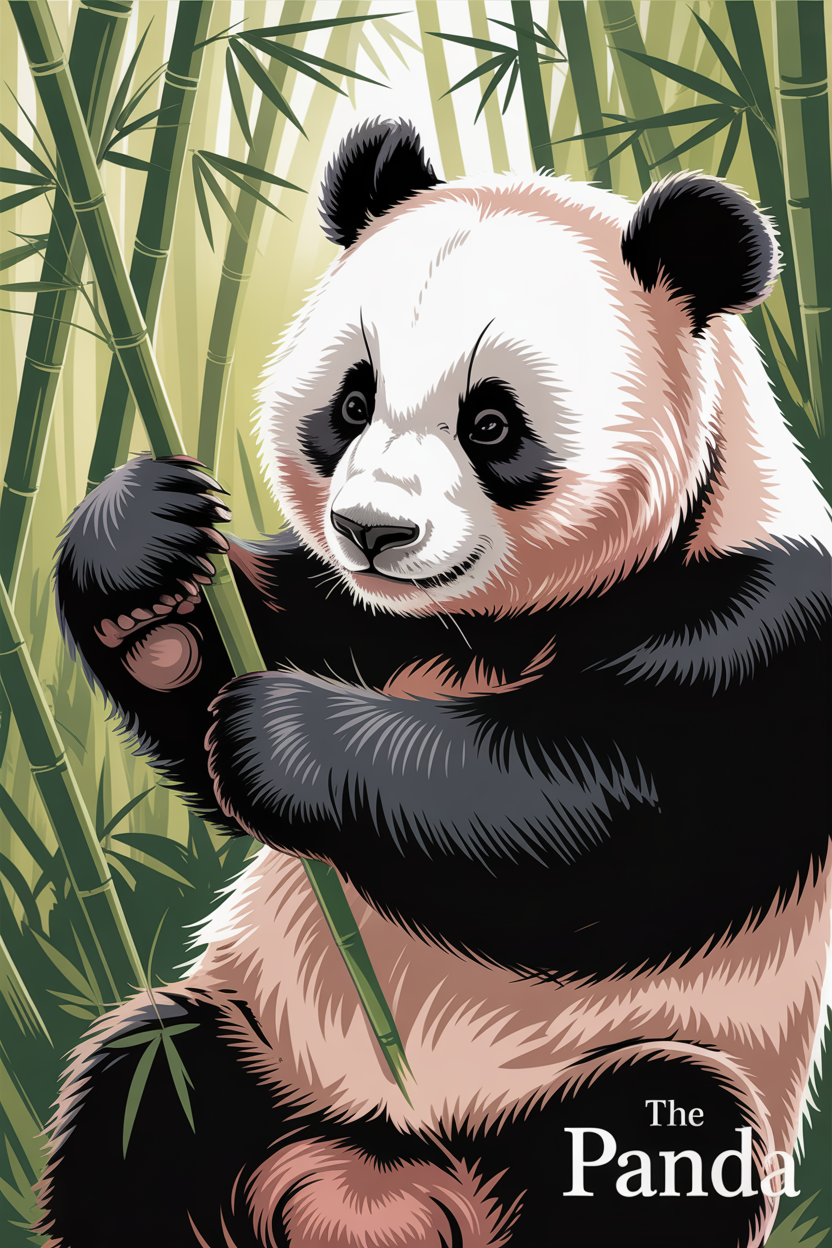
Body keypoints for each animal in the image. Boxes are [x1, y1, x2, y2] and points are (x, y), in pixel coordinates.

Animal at [40, 119, 831, 1248]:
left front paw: (284, 739)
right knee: (145, 1091)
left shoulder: (769, 627)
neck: (497, 623)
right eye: (352, 399)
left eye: (491, 423)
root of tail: (379, 1198)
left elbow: (613, 823)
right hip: (261, 1057)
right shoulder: (360, 615)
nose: (373, 530)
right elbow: (217, 671)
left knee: (657, 1136)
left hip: (625, 1079)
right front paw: (144, 564)